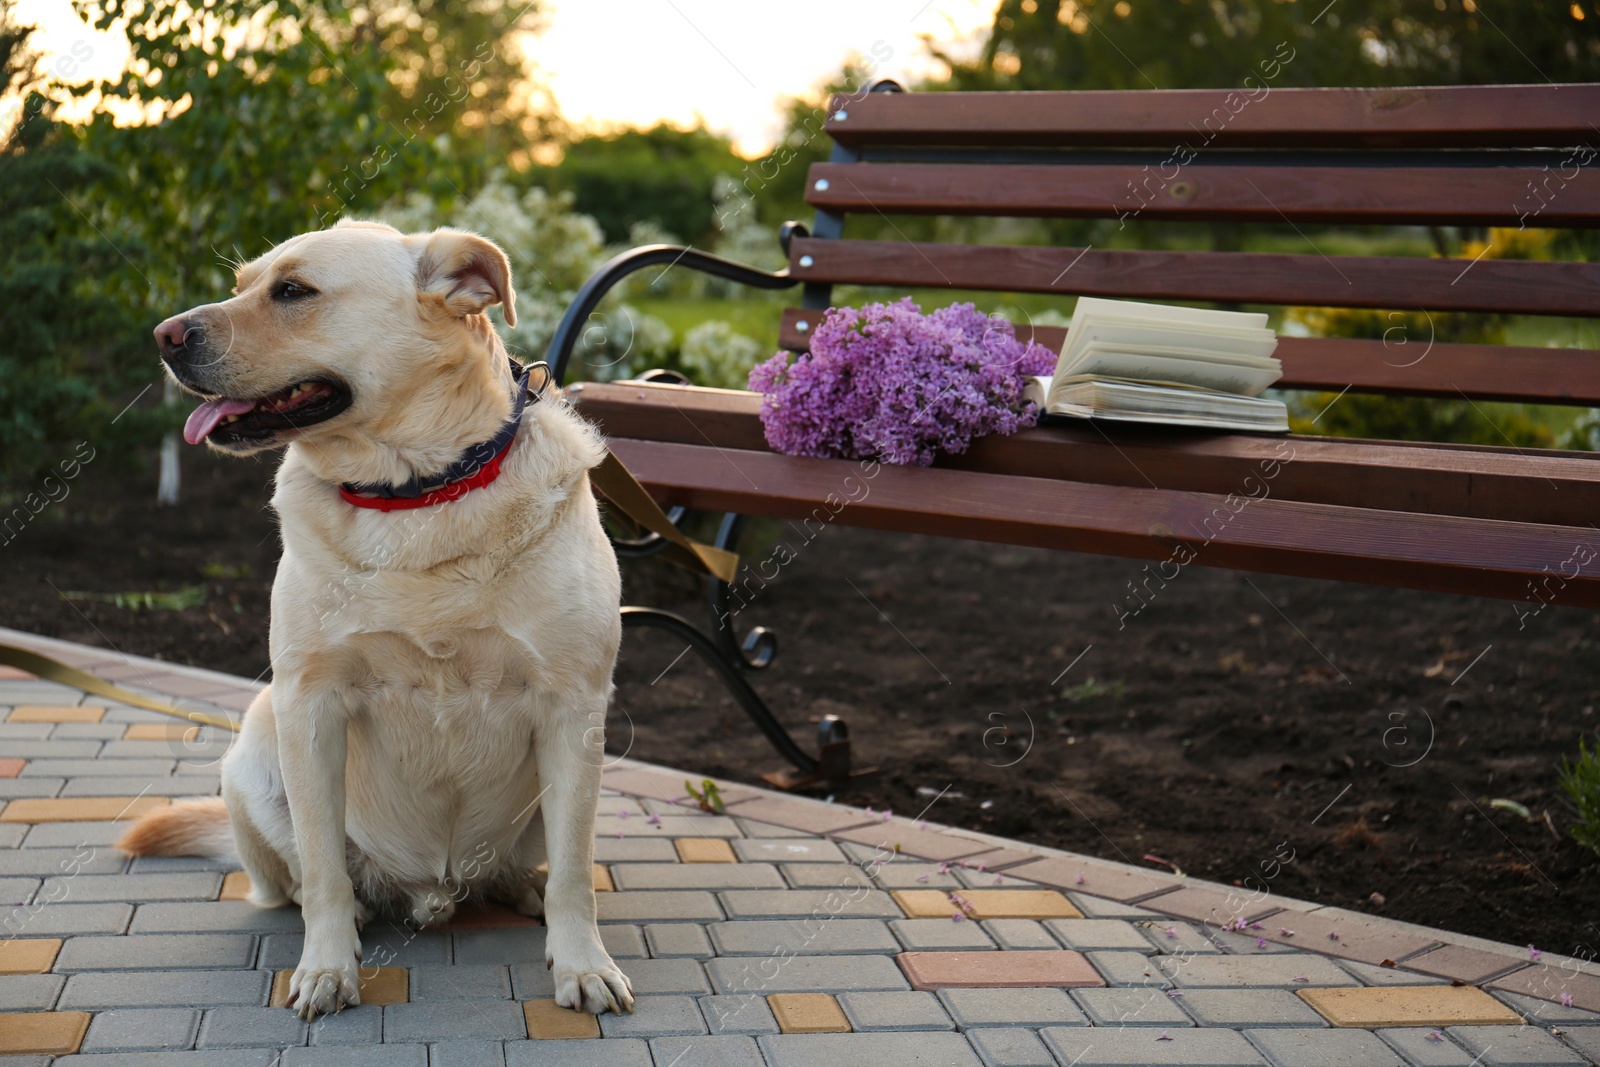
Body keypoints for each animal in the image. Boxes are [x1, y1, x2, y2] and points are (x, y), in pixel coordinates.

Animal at [120, 217, 630, 1017]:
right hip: (254, 753)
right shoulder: (310, 702)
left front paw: (582, 964)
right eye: (241, 285)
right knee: (297, 879)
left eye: (293, 291)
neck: (415, 491)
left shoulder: (573, 706)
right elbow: (324, 865)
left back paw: (523, 888)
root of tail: (434, 888)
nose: (163, 334)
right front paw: (328, 967)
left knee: (536, 865)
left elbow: (578, 873)